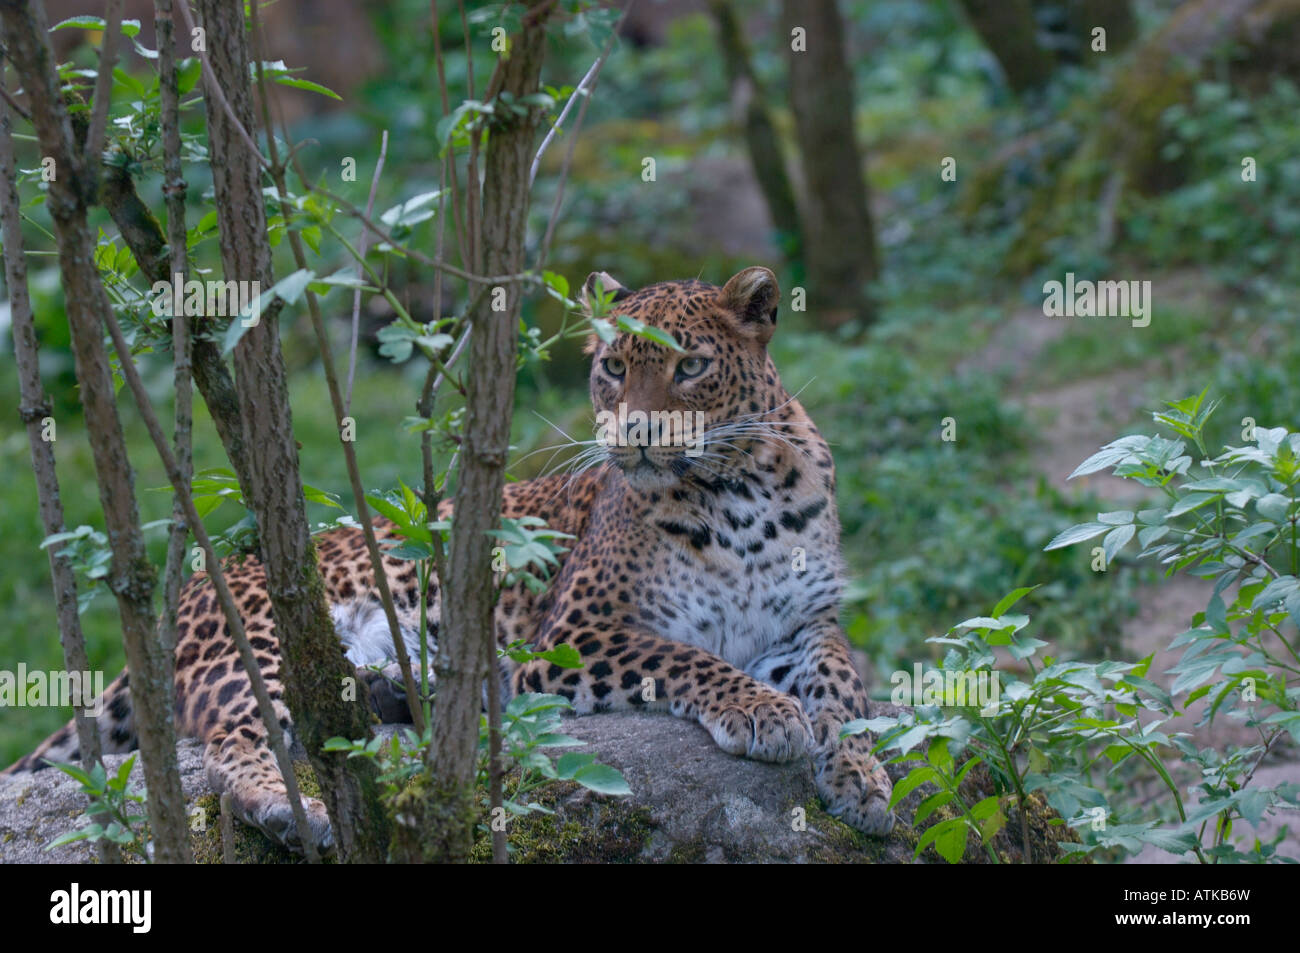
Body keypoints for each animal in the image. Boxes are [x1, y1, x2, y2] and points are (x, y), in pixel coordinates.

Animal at [5, 265, 894, 847]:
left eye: (692, 364)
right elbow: (686, 658)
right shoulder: (575, 635)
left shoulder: (808, 623)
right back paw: (293, 811)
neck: (735, 490)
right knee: (231, 743)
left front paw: (861, 775)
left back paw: (394, 694)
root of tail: (198, 579)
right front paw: (764, 711)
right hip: (258, 637)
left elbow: (843, 686)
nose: (637, 432)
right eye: (613, 367)